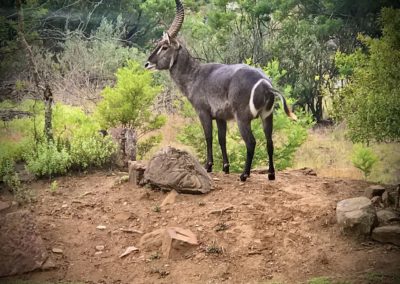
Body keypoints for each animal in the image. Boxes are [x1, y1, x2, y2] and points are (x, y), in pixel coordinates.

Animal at [145, 0, 296, 182]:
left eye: (165, 46)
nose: (147, 63)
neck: (194, 74)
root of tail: (265, 84)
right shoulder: (221, 117)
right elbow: (222, 139)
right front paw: (225, 167)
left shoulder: (203, 112)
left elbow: (208, 137)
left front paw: (208, 166)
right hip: (267, 116)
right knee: (269, 141)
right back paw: (271, 174)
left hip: (243, 118)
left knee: (251, 142)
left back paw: (244, 175)